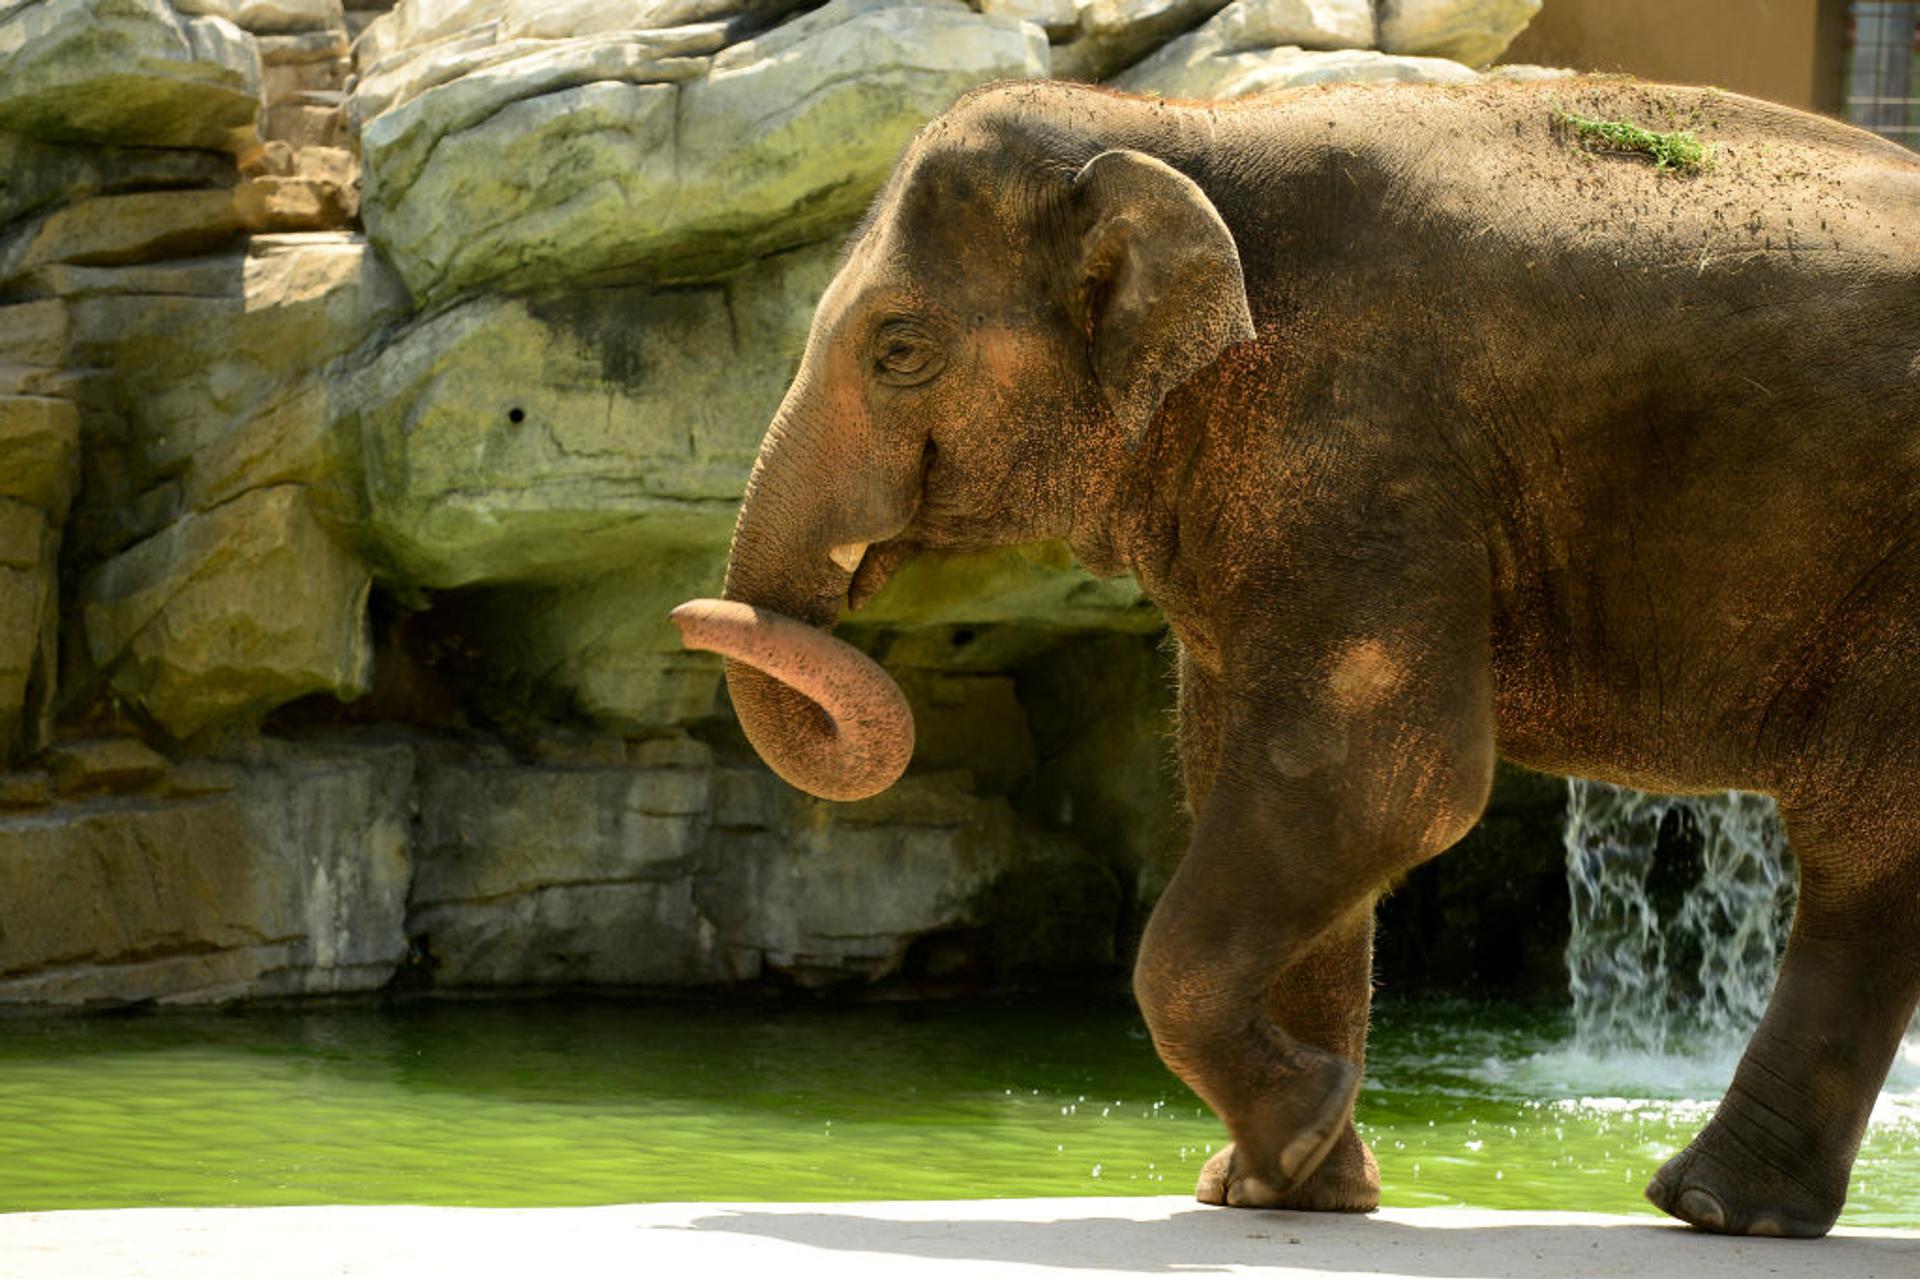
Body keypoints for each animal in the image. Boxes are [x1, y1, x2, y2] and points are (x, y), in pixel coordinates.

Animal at [670, 75, 1920, 1238]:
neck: (1185, 126)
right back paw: (1725, 1207)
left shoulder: (1364, 440)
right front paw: (1294, 1184)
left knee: (1862, 838)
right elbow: (1273, 770)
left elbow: (1379, 778)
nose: (684, 615)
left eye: (900, 350)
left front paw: (1299, 1132)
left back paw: (1707, 1206)